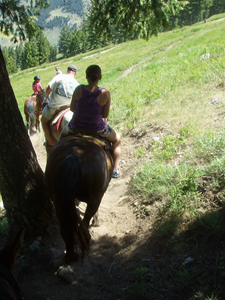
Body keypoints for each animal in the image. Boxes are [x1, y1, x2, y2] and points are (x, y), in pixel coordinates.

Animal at [44, 135, 113, 264]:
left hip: (58, 200)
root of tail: (72, 159)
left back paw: (71, 256)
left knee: (66, 229)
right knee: (83, 226)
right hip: (95, 198)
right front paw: (96, 221)